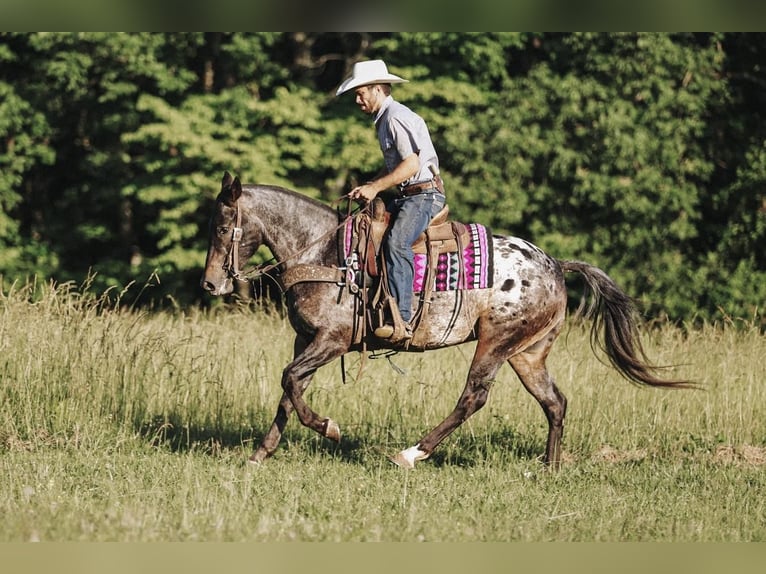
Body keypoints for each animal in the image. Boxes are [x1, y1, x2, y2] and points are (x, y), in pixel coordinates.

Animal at [201, 173, 692, 470]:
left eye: (223, 229)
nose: (210, 283)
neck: (324, 254)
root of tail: (555, 264)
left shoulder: (332, 340)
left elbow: (290, 382)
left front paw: (329, 428)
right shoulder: (304, 340)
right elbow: (289, 390)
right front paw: (261, 453)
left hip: (495, 342)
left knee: (473, 398)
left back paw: (412, 453)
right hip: (528, 353)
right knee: (554, 402)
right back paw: (549, 467)